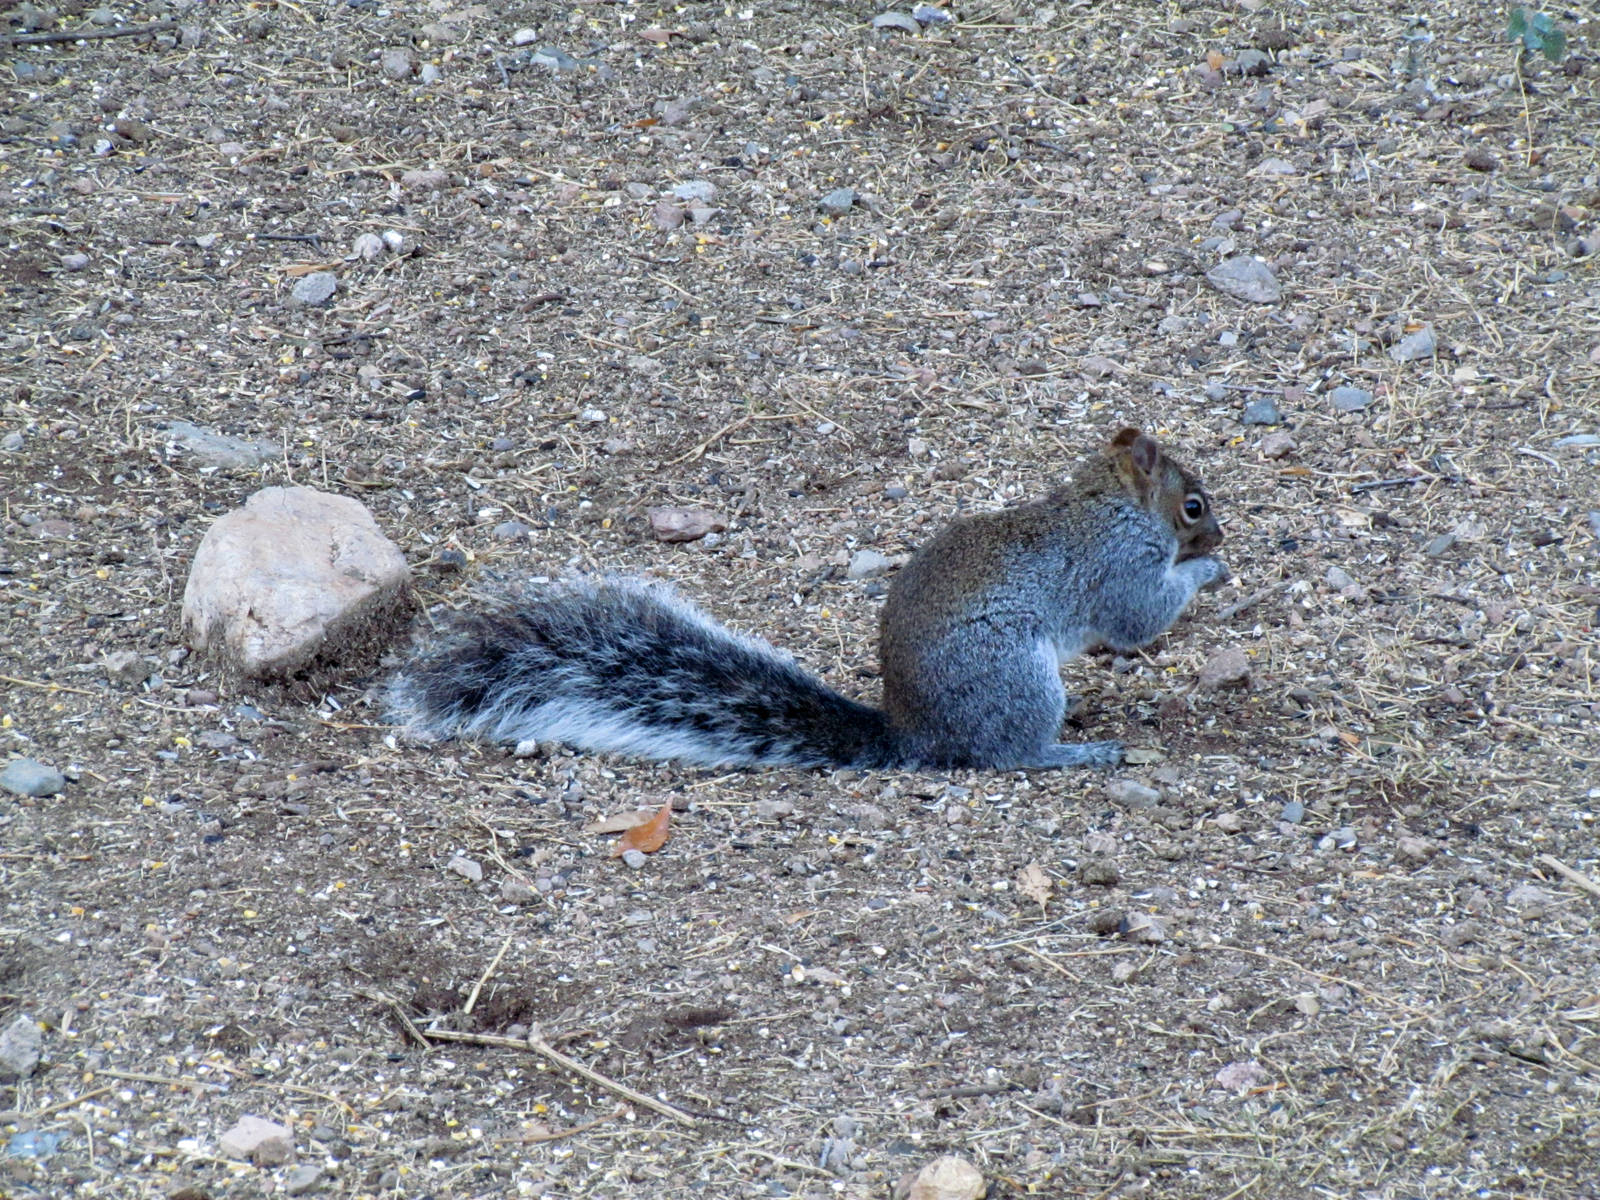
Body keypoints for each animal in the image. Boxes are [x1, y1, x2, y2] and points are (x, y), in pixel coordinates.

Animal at [385, 427, 1227, 771]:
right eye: (1194, 506)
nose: (1219, 535)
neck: (1104, 505)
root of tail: (915, 737)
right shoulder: (1114, 569)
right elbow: (1138, 618)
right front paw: (1208, 575)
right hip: (1015, 678)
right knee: (1006, 756)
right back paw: (1073, 751)